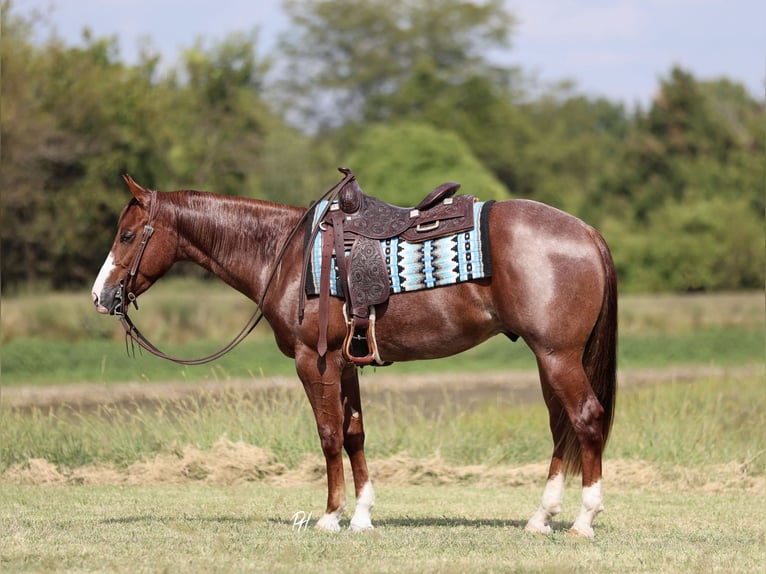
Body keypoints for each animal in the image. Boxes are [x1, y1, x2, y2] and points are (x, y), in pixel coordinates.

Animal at [91, 172, 617, 538]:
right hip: (549, 359)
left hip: (557, 355)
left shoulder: (314, 361)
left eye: (127, 235)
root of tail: (587, 232)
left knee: (586, 419)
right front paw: (362, 516)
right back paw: (541, 517)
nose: (101, 296)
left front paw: (329, 517)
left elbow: (327, 436)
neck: (286, 256)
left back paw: (583, 521)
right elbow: (354, 434)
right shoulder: (346, 366)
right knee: (561, 428)